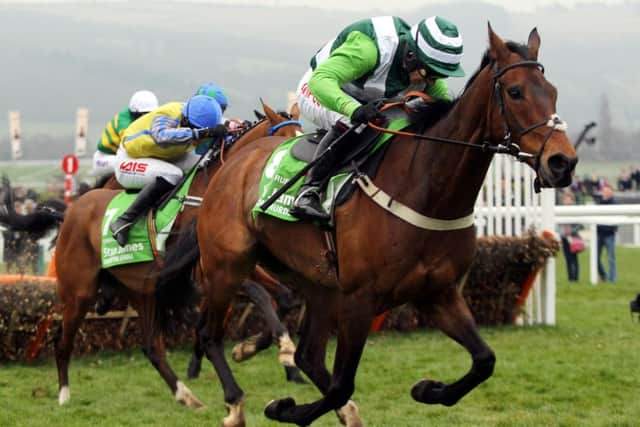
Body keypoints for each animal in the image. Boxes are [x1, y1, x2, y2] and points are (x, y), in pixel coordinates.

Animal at [52, 102, 302, 410]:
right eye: (285, 144)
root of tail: (72, 209)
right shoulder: (206, 272)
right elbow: (259, 296)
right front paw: (268, 349)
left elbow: (283, 297)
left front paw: (255, 349)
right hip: (79, 291)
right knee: (63, 340)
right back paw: (63, 395)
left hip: (141, 291)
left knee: (152, 347)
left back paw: (187, 395)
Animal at [169, 25, 576, 426]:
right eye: (515, 91)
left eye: (554, 92)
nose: (562, 162)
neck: (426, 188)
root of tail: (229, 165)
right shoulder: (360, 300)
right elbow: (341, 384)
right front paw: (282, 408)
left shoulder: (437, 293)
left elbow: (484, 360)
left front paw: (428, 389)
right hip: (228, 265)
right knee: (209, 333)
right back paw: (234, 403)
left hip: (318, 284)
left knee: (306, 354)